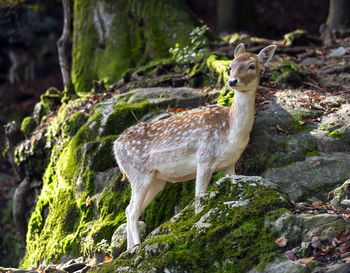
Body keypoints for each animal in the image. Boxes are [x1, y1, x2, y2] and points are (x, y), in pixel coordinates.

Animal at [113, 42, 278, 249]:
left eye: (252, 66)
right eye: (230, 66)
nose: (232, 81)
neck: (231, 130)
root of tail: (115, 146)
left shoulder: (230, 164)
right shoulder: (204, 157)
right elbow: (199, 195)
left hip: (155, 179)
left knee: (128, 209)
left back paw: (128, 249)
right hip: (137, 173)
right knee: (133, 210)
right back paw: (136, 247)